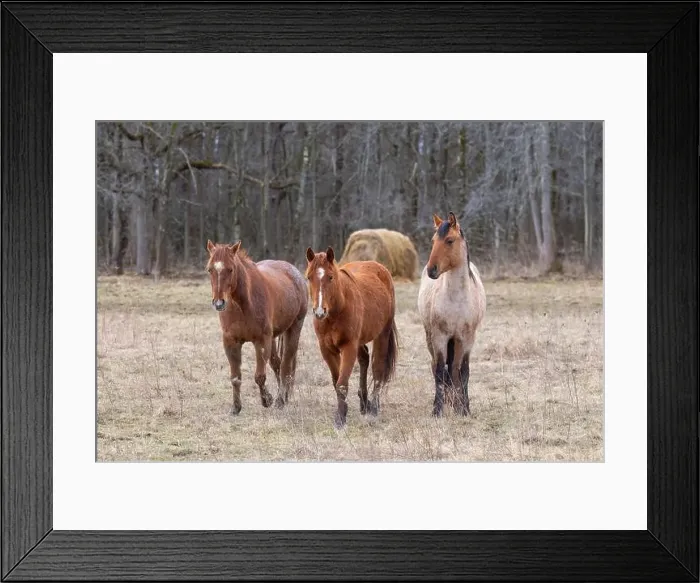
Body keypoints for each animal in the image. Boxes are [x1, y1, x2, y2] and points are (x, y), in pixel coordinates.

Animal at [206, 239, 308, 415]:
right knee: (277, 364)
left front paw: (267, 400)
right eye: (210, 269)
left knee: (286, 364)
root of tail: (294, 272)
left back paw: (281, 400)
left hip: (294, 327)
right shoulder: (231, 342)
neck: (243, 305)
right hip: (273, 337)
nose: (219, 303)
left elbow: (260, 376)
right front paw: (236, 408)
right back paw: (284, 396)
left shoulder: (261, 341)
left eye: (230, 269)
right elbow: (235, 377)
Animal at [305, 246, 399, 429]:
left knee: (377, 369)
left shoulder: (348, 347)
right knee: (364, 359)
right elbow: (336, 381)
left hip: (382, 335)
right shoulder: (326, 349)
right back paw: (364, 402)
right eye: (309, 277)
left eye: (330, 277)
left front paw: (340, 419)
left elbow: (342, 384)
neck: (336, 310)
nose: (319, 312)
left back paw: (374, 407)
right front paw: (343, 411)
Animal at [417, 212, 486, 417]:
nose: (431, 270)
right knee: (436, 367)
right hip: (431, 337)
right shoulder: (440, 337)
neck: (457, 300)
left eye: (449, 240)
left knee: (454, 369)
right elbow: (440, 370)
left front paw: (464, 409)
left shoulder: (467, 338)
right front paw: (437, 410)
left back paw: (455, 403)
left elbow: (463, 371)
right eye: (433, 240)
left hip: (456, 341)